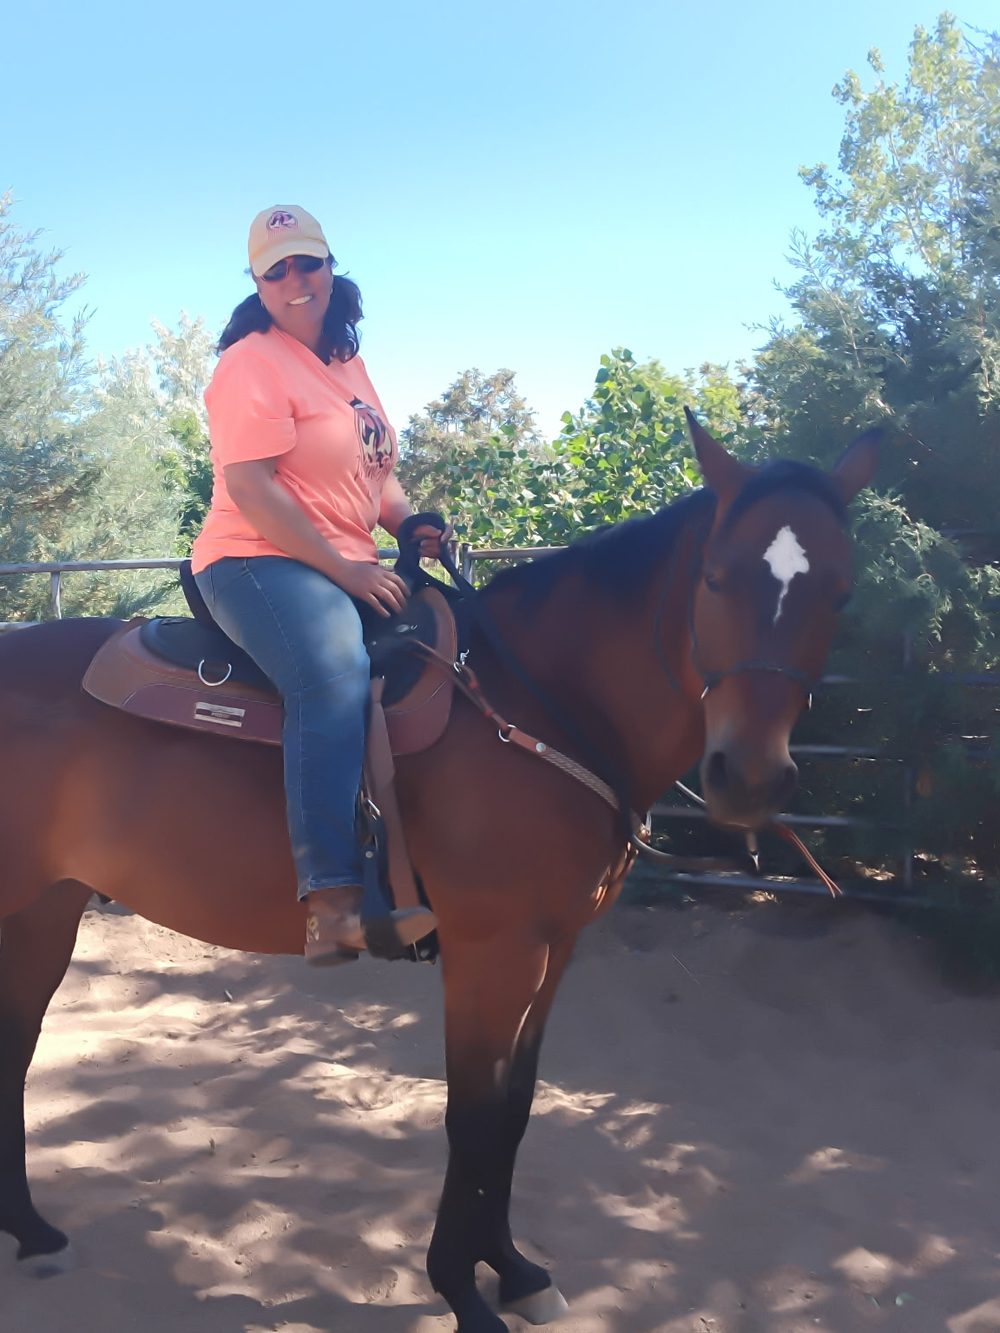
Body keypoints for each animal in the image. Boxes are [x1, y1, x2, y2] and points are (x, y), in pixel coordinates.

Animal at [0, 418, 877, 1331]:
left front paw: (516, 1269)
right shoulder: (493, 952)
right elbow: (472, 1116)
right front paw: (462, 1286)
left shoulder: (554, 950)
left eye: (841, 593)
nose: (749, 777)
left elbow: (516, 1109)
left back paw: (31, 1228)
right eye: (716, 576)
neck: (535, 702)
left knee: (14, 1048)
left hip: (45, 909)